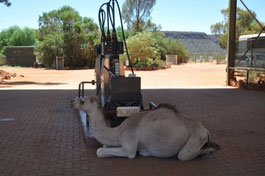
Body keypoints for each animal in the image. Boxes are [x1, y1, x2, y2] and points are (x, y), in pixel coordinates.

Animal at [69, 96, 219, 161]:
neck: (118, 131)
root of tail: (205, 130)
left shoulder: (130, 146)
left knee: (183, 155)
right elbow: (104, 146)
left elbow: (100, 151)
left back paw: (211, 150)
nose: (71, 102)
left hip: (195, 139)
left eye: (82, 101)